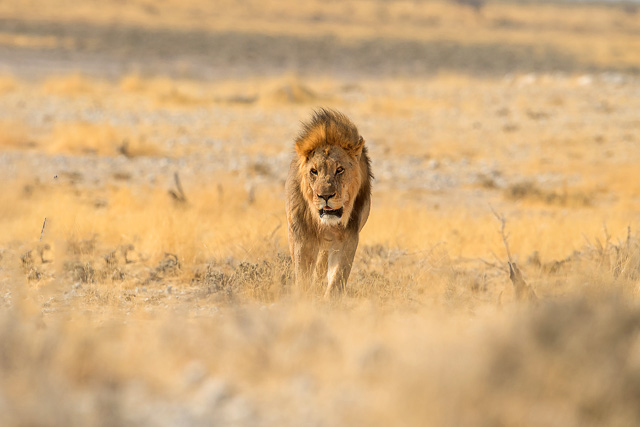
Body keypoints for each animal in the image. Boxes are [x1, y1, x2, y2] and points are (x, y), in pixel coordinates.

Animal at [286, 109, 372, 298]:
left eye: (339, 170)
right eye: (314, 171)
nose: (325, 195)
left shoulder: (347, 236)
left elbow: (337, 277)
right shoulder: (303, 234)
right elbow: (303, 274)